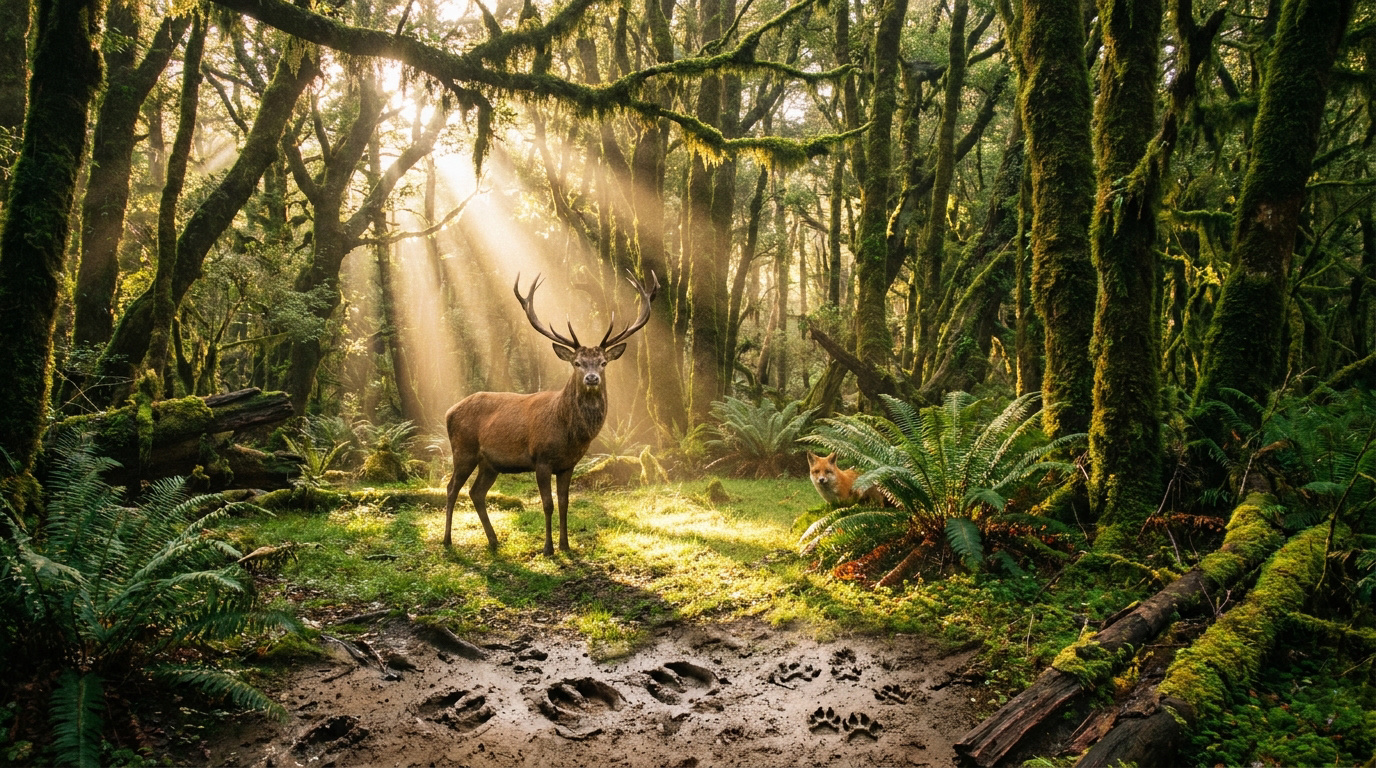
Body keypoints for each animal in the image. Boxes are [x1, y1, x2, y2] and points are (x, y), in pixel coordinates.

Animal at [441, 270, 659, 556]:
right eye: (577, 363)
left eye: (603, 363)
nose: (591, 378)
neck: (568, 434)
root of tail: (449, 411)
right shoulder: (541, 459)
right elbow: (548, 504)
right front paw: (548, 548)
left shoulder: (568, 465)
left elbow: (565, 503)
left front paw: (566, 545)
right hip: (463, 450)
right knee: (451, 488)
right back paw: (447, 540)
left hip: (491, 462)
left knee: (476, 492)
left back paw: (494, 540)